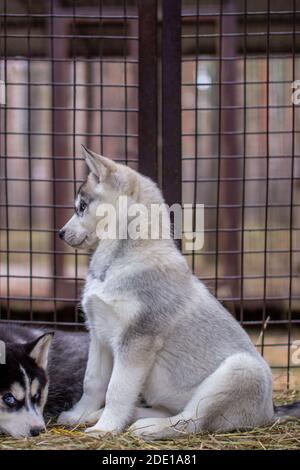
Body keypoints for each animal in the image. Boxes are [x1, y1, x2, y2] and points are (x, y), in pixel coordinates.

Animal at [57, 148, 298, 440]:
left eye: (81, 206)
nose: (60, 233)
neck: (118, 259)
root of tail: (271, 411)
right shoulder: (98, 334)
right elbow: (92, 382)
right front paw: (80, 415)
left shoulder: (137, 340)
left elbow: (116, 389)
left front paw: (105, 428)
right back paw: (116, 416)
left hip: (238, 370)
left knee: (192, 421)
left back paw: (148, 427)